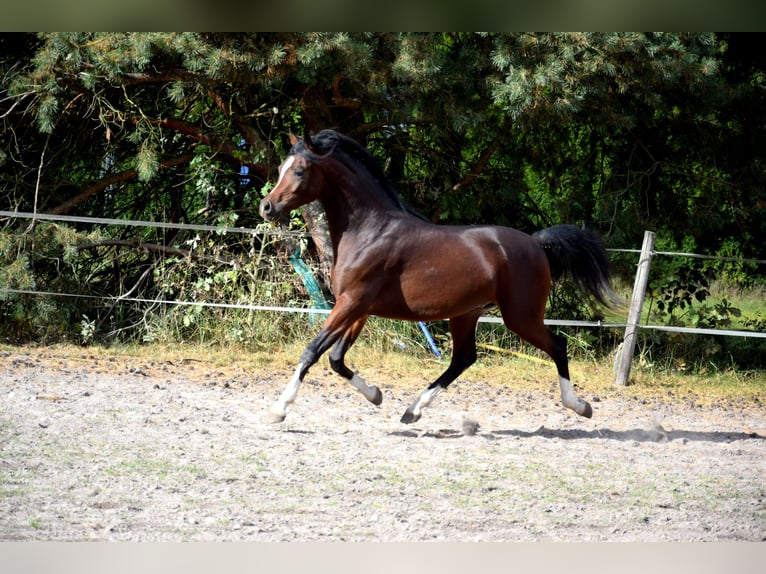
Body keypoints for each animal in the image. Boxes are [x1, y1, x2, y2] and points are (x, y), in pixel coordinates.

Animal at [259, 129, 620, 425]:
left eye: (299, 171)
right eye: (279, 170)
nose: (267, 207)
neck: (370, 230)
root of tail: (536, 243)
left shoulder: (352, 302)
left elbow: (313, 350)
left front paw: (279, 409)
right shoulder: (358, 308)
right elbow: (336, 358)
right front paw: (376, 395)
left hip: (521, 316)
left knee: (557, 345)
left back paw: (580, 406)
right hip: (466, 313)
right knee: (464, 358)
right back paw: (413, 410)